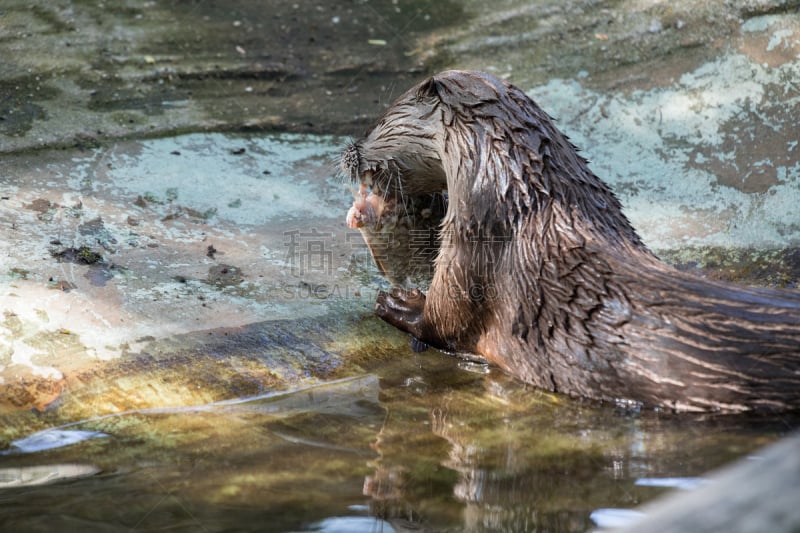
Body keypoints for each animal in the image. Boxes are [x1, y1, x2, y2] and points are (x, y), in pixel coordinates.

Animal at [342, 69, 800, 412]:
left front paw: (399, 302)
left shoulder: (473, 247)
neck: (518, 200)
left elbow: (445, 319)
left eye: (378, 122)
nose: (349, 150)